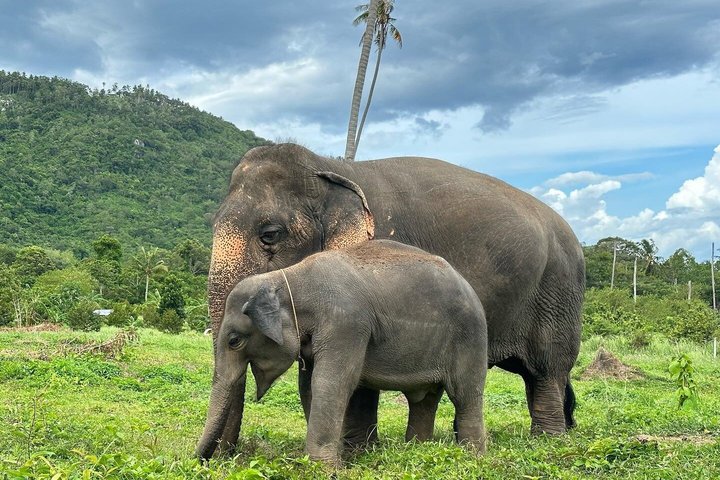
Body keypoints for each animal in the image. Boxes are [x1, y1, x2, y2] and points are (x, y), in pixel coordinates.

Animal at [196, 240, 488, 466]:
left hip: (471, 339)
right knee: (424, 400)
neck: (290, 276)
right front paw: (334, 460)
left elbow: (331, 382)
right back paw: (417, 451)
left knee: (465, 395)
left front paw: (324, 468)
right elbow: (307, 387)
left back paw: (472, 458)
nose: (199, 461)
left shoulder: (346, 323)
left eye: (234, 341)